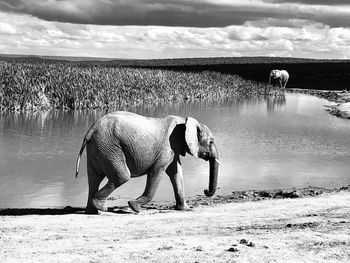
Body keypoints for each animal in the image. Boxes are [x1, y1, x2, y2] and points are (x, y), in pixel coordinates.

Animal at [75, 111, 220, 214]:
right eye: (211, 141)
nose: (205, 190)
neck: (183, 120)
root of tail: (91, 129)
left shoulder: (173, 150)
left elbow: (176, 173)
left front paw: (185, 209)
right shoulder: (167, 148)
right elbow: (157, 171)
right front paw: (134, 207)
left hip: (99, 147)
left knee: (94, 178)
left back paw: (92, 211)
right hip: (109, 147)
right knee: (122, 176)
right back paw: (101, 208)